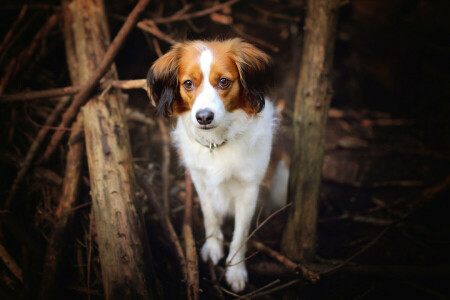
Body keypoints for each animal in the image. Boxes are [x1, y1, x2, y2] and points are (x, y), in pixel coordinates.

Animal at [148, 38, 280, 292]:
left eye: (223, 81)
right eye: (188, 84)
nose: (204, 117)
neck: (217, 142)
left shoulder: (249, 189)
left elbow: (240, 234)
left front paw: (235, 271)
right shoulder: (200, 180)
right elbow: (210, 215)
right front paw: (213, 247)